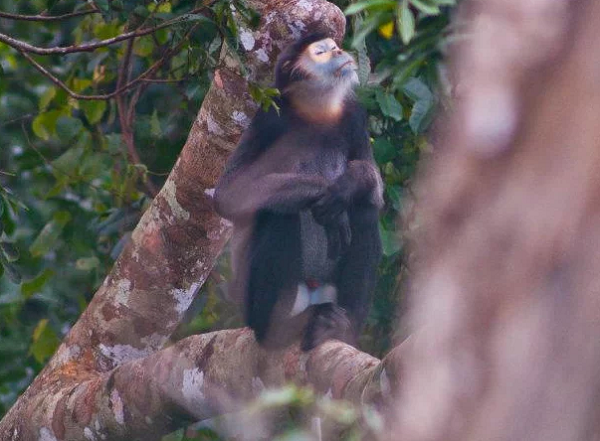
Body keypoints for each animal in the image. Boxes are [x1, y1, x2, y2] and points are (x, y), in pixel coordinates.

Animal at [216, 31, 382, 350]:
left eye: (334, 47)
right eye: (321, 52)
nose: (340, 52)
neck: (317, 111)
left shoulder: (355, 115)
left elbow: (375, 194)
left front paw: (348, 184)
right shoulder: (267, 117)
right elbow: (229, 194)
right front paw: (323, 190)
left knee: (364, 208)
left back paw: (341, 328)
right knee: (281, 213)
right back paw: (277, 328)